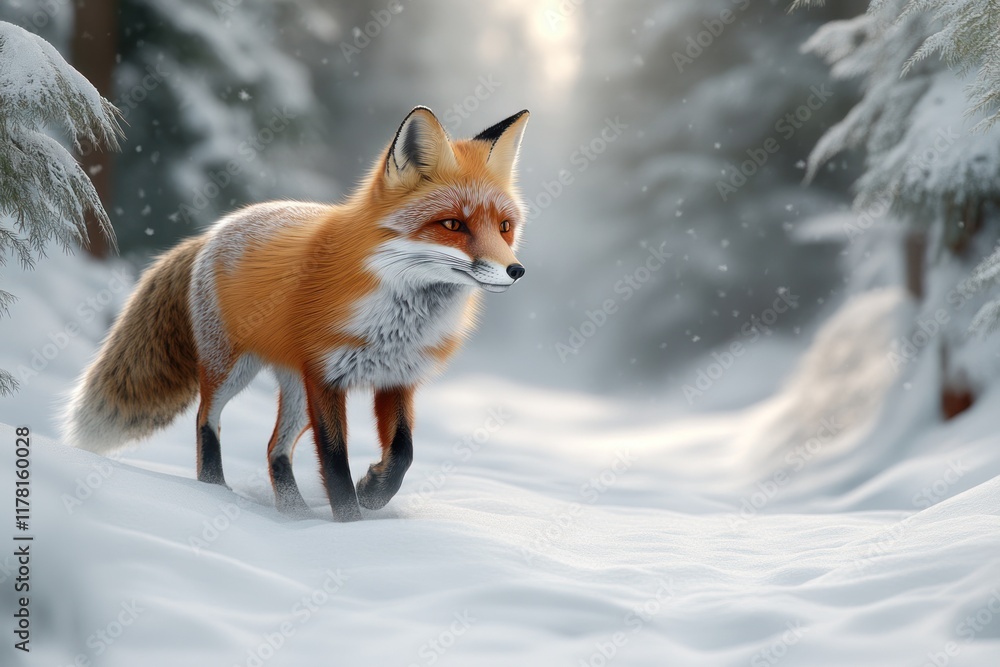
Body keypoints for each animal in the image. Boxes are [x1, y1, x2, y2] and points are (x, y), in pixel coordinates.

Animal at [63, 106, 529, 521]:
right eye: (452, 225)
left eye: (504, 227)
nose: (516, 270)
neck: (397, 322)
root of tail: (214, 231)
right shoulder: (324, 377)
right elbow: (336, 461)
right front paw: (349, 526)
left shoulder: (397, 378)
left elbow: (403, 451)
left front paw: (374, 492)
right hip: (232, 369)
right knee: (205, 420)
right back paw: (214, 491)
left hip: (295, 392)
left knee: (275, 448)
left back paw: (294, 513)